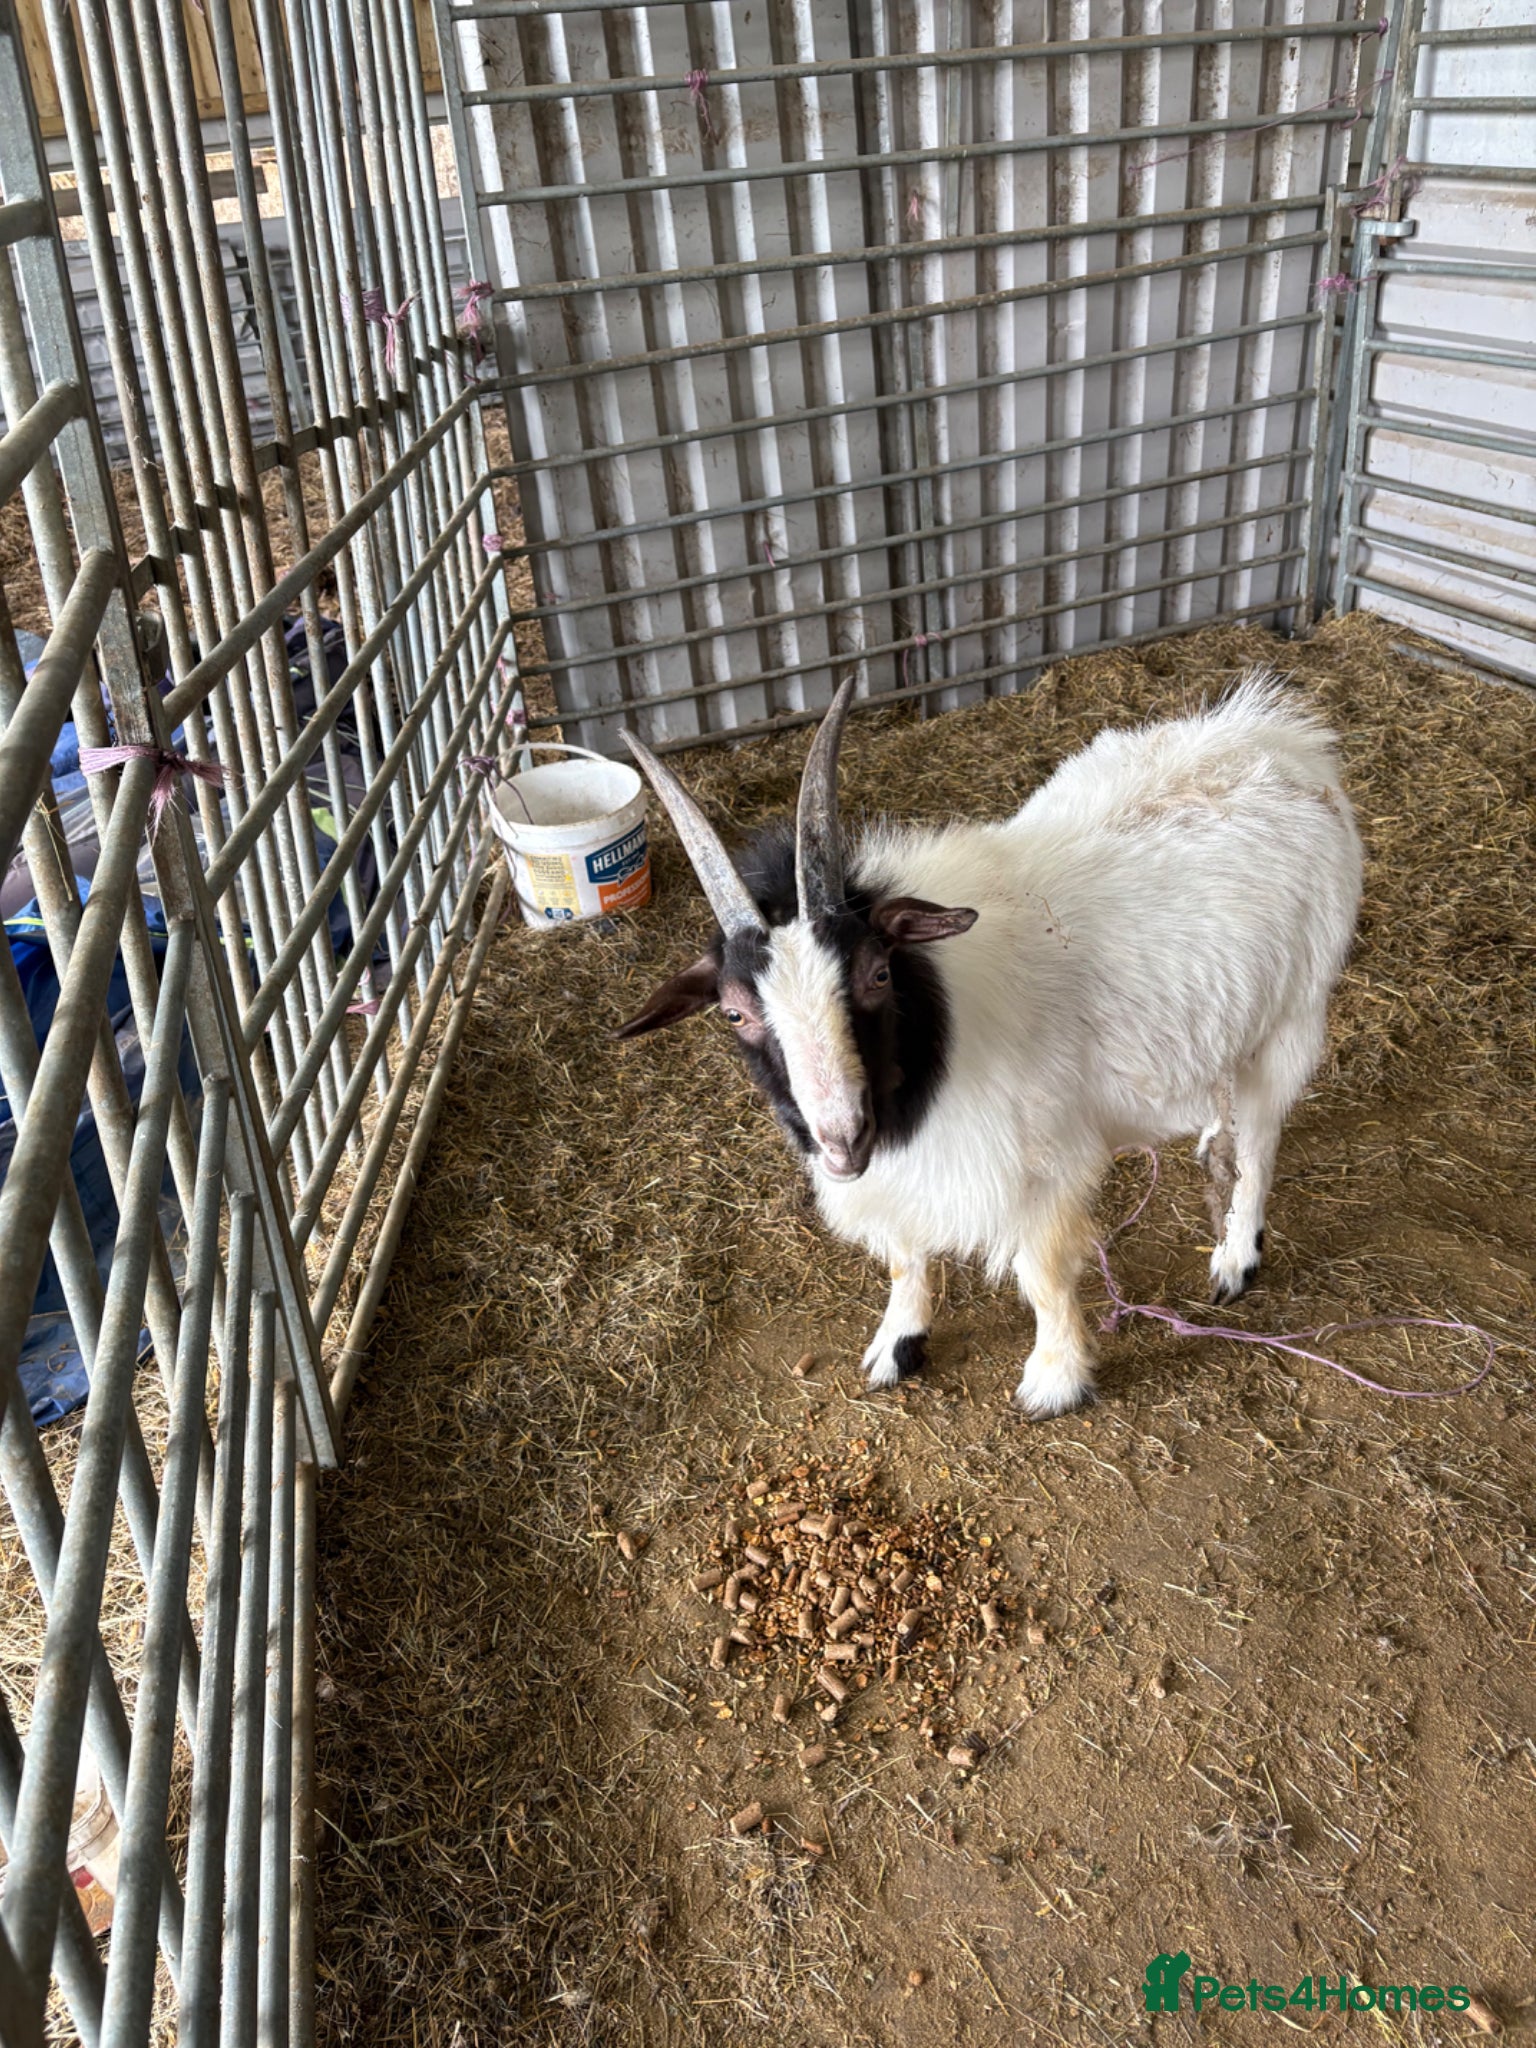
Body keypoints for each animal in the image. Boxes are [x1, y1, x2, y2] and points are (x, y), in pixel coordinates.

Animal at [617, 674, 1363, 1415]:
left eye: (878, 974)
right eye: (735, 1013)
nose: (841, 1140)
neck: (936, 1030)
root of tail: (1279, 738)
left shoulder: (1039, 1164)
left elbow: (1043, 1272)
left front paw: (1055, 1380)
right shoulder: (904, 1173)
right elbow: (904, 1255)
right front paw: (898, 1344)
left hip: (1291, 1014)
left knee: (1261, 1138)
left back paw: (1237, 1257)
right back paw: (1211, 1136)